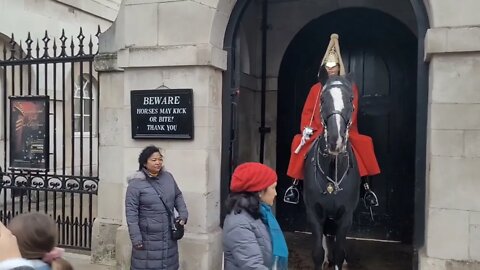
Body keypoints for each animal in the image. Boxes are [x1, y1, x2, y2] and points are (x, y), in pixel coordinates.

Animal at [304, 75, 360, 270]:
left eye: (351, 99)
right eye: (321, 99)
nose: (336, 141)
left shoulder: (346, 216)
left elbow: (339, 253)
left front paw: (340, 260)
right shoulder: (313, 213)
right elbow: (317, 253)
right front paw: (323, 258)